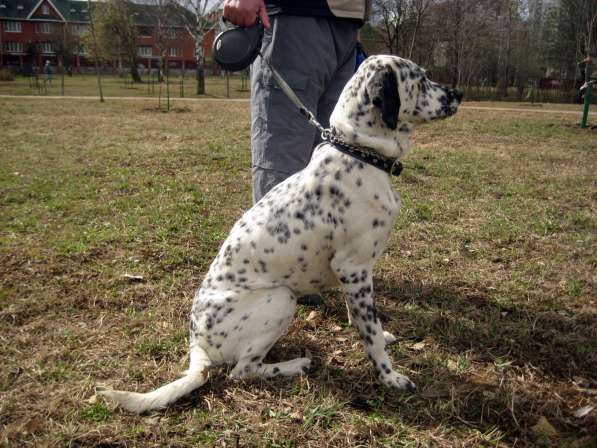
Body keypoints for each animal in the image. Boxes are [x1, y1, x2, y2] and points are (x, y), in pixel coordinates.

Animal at [98, 55, 460, 412]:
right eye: (421, 79)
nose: (458, 93)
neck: (359, 153)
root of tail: (196, 348)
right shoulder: (354, 268)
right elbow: (370, 334)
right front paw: (389, 376)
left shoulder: (355, 276)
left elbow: (363, 321)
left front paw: (380, 337)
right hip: (282, 298)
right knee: (242, 371)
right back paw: (296, 365)